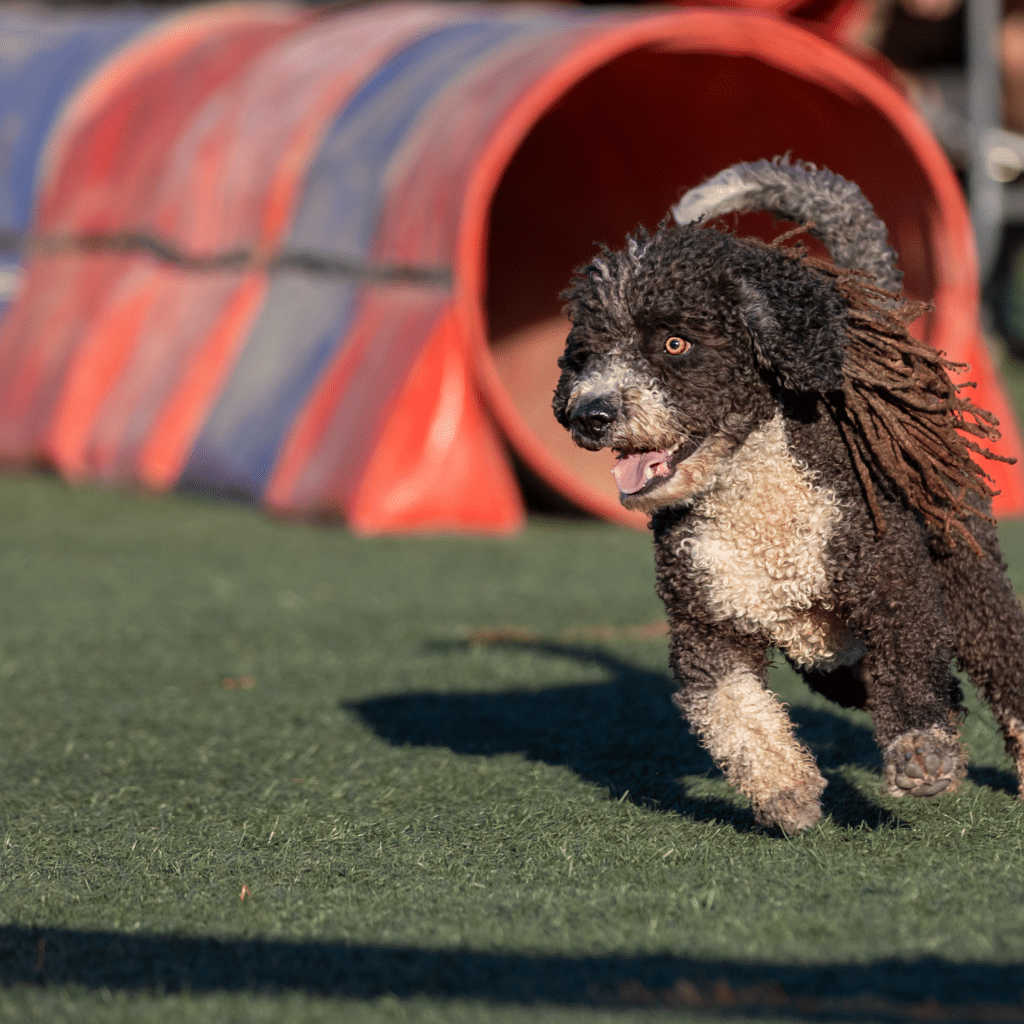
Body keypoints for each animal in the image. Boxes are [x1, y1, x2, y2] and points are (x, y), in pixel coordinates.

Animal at [557, 157, 1024, 831]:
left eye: (675, 342)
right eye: (586, 354)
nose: (589, 414)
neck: (753, 501)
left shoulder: (894, 580)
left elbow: (910, 661)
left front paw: (921, 750)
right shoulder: (706, 623)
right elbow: (732, 712)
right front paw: (784, 789)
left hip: (963, 565)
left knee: (998, 654)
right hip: (828, 655)